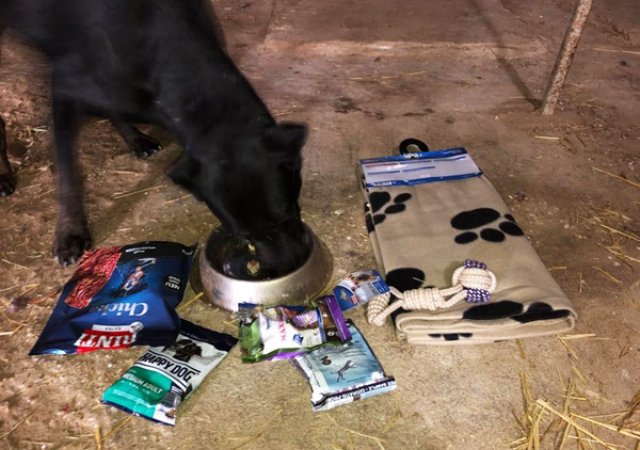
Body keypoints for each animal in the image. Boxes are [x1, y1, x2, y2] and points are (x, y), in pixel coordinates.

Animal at [0, 0, 311, 277]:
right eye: (242, 234)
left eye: (286, 215)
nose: (286, 268)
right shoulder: (65, 88)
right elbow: (69, 175)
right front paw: (70, 233)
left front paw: (133, 136)